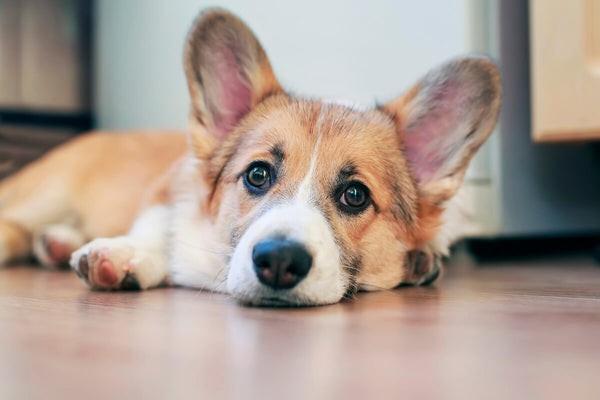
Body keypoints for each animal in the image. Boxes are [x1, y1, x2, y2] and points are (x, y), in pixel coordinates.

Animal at [0, 7, 502, 304]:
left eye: (355, 195)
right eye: (257, 174)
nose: (279, 261)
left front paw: (422, 263)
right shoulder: (168, 188)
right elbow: (161, 227)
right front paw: (125, 254)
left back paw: (55, 242)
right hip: (42, 194)